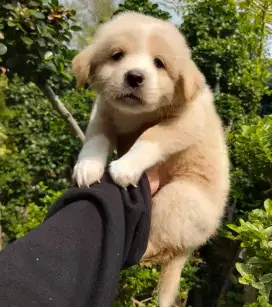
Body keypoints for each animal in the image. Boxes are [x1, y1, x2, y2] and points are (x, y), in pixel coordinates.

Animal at [71, 12, 230, 307]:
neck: (133, 116)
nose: (134, 77)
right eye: (117, 56)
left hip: (177, 197)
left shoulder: (186, 122)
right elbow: (96, 139)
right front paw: (87, 167)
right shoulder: (104, 111)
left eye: (159, 63)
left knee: (158, 247)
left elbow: (151, 136)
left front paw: (125, 167)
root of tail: (193, 244)